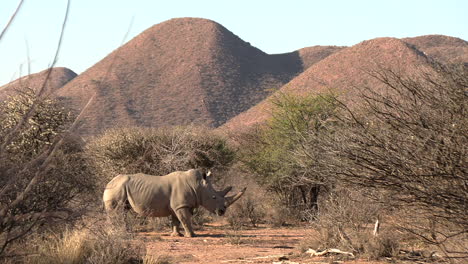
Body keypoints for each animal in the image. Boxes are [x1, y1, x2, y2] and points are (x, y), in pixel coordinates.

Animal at [103, 169, 247, 237]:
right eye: (214, 197)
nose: (222, 211)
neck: (198, 186)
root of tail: (108, 183)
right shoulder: (181, 205)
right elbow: (185, 219)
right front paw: (192, 236)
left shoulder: (177, 206)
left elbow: (176, 220)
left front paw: (177, 235)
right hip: (117, 188)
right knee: (117, 211)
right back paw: (117, 233)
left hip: (119, 188)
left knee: (123, 211)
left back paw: (125, 232)